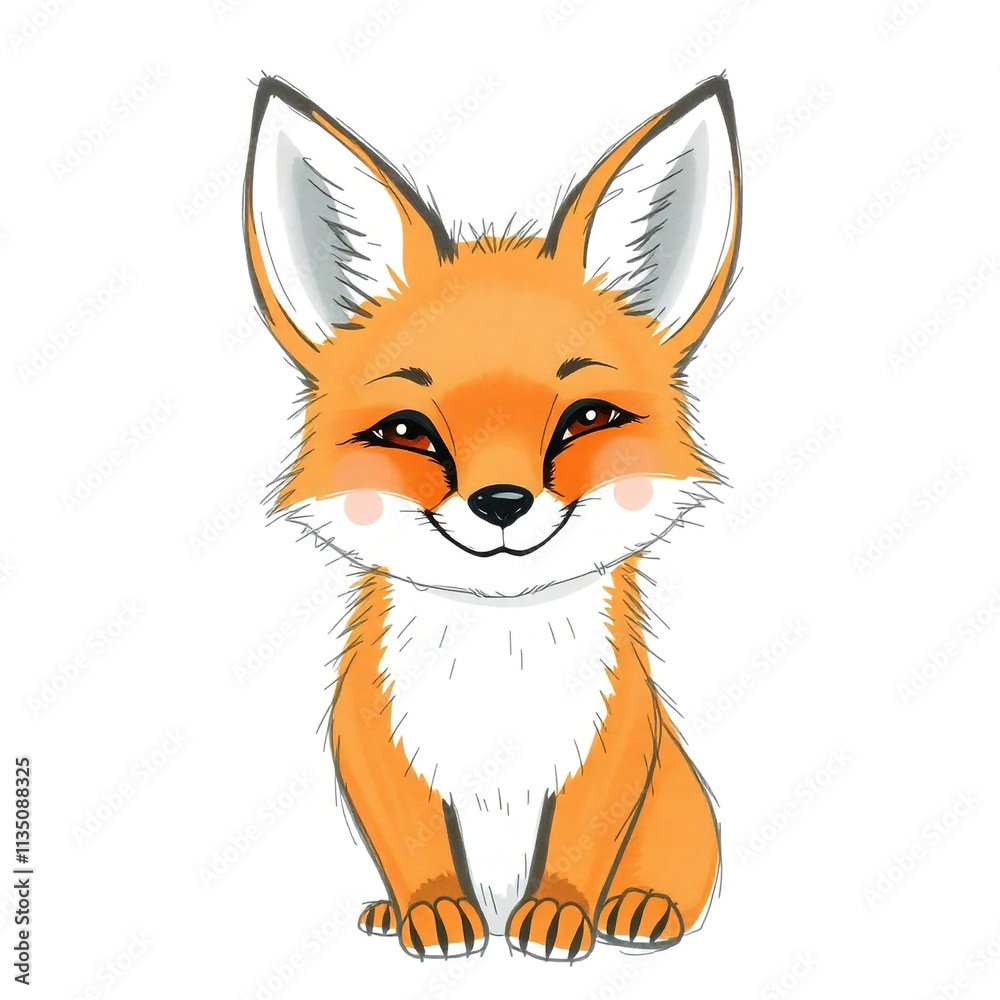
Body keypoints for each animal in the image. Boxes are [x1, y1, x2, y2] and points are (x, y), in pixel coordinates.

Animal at [242, 73, 741, 962]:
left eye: (587, 419)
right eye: (407, 431)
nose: (501, 504)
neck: (498, 669)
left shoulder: (616, 738)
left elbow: (580, 841)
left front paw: (561, 914)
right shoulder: (372, 737)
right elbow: (413, 844)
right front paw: (434, 912)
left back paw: (641, 908)